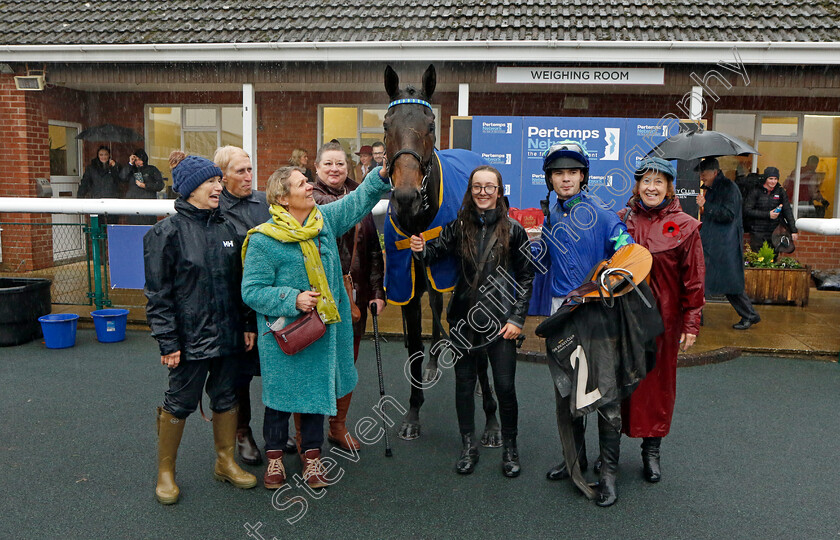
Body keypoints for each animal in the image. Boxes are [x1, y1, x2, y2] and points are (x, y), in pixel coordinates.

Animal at [384, 63, 502, 446]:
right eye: (386, 124)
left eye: (431, 125)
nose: (405, 196)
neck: (418, 221)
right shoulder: (406, 285)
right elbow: (413, 347)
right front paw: (412, 414)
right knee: (435, 303)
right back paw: (436, 360)